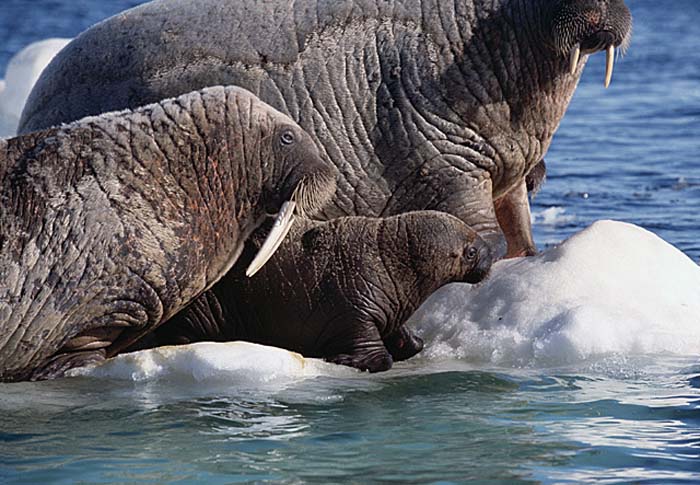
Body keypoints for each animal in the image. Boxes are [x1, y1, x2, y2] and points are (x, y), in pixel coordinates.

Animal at [144, 210, 492, 372]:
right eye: (471, 252)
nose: (490, 253)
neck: (389, 259)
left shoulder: (389, 313)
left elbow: (408, 339)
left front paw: (411, 341)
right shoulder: (355, 310)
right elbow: (376, 354)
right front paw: (343, 358)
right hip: (201, 310)